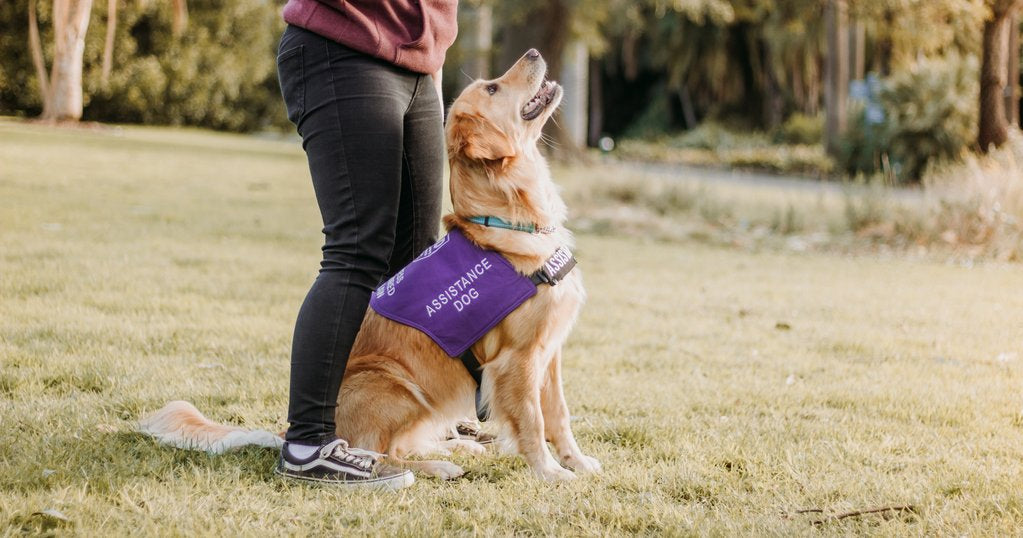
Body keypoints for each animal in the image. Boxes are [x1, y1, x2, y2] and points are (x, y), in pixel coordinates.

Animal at [140, 48, 597, 482]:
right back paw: (435, 466)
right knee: (382, 454)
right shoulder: (516, 360)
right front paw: (549, 472)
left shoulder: (549, 353)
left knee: (404, 444)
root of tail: (292, 433)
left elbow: (559, 415)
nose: (534, 53)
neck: (506, 220)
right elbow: (533, 422)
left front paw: (576, 461)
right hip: (396, 383)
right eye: (492, 88)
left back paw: (458, 447)